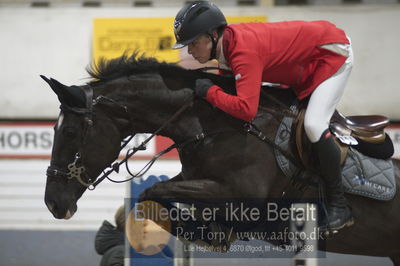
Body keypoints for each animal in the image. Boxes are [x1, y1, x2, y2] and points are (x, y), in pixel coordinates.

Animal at [42, 54, 400, 264]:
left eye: (70, 132)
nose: (53, 204)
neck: (211, 124)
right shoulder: (196, 180)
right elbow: (154, 195)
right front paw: (207, 231)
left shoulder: (243, 196)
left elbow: (154, 191)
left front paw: (204, 229)